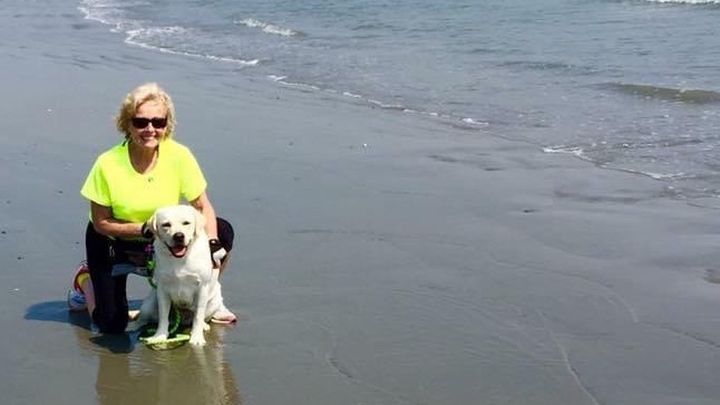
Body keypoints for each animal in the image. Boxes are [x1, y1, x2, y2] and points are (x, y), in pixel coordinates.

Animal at [129, 205, 229, 346]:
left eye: (186, 223)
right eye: (166, 224)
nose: (178, 236)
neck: (180, 258)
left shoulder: (202, 288)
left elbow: (198, 315)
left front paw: (197, 337)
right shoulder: (162, 289)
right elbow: (163, 316)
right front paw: (160, 336)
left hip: (214, 301)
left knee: (200, 316)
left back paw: (203, 326)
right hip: (149, 304)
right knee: (143, 318)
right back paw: (133, 326)